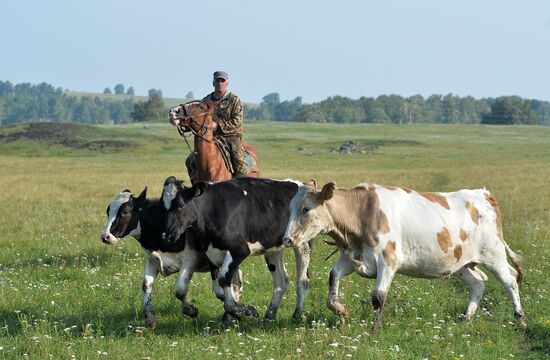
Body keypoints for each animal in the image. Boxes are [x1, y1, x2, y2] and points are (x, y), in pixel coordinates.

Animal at [101, 177, 244, 330]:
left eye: (125, 212)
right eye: (108, 211)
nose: (105, 237)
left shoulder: (189, 261)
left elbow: (180, 290)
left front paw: (191, 310)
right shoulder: (153, 261)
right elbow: (146, 285)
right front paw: (150, 317)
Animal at [162, 177, 312, 320]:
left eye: (180, 206)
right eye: (162, 207)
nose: (166, 236)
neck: (213, 210)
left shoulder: (238, 250)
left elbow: (224, 280)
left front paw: (240, 311)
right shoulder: (212, 252)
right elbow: (221, 287)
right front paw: (234, 312)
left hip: (302, 244)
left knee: (303, 280)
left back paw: (297, 314)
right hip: (274, 249)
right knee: (281, 280)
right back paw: (269, 316)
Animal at [286, 180, 528, 330]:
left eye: (306, 209)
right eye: (290, 208)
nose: (287, 239)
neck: (362, 212)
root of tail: (483, 194)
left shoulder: (388, 260)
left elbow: (378, 297)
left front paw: (375, 329)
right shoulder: (350, 257)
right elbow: (332, 278)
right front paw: (341, 310)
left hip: (493, 253)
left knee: (510, 280)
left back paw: (520, 319)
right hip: (461, 263)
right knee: (479, 282)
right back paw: (466, 318)